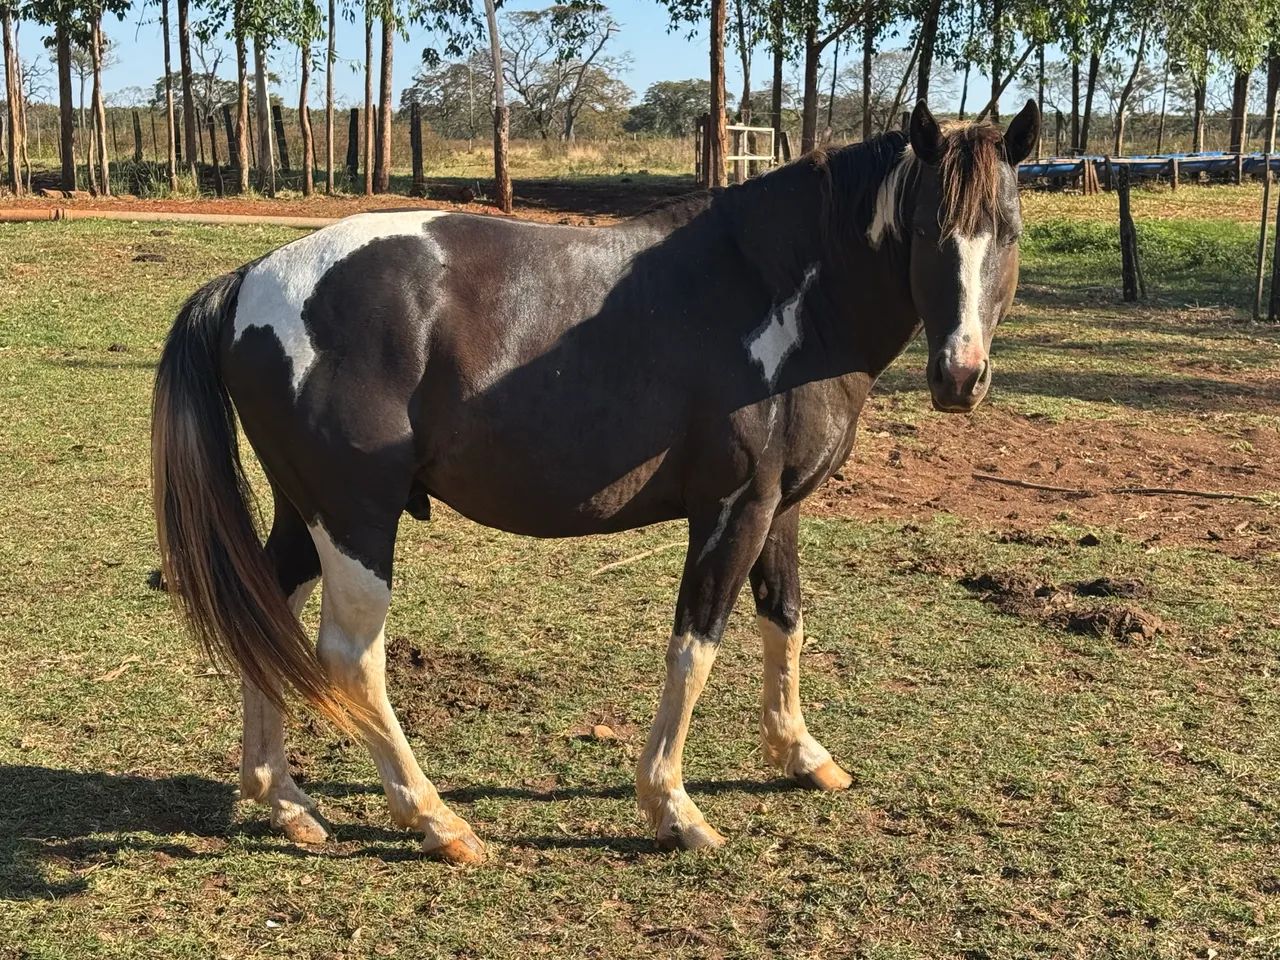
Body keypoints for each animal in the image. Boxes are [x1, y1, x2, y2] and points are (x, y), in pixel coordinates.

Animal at [152, 100, 1040, 862]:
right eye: (927, 227)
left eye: (1008, 229)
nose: (960, 377)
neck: (781, 292)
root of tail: (250, 281)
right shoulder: (733, 510)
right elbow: (695, 646)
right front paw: (672, 807)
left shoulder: (778, 509)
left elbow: (783, 622)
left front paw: (801, 754)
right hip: (356, 520)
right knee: (350, 659)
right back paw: (437, 821)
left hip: (308, 516)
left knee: (266, 615)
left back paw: (284, 800)